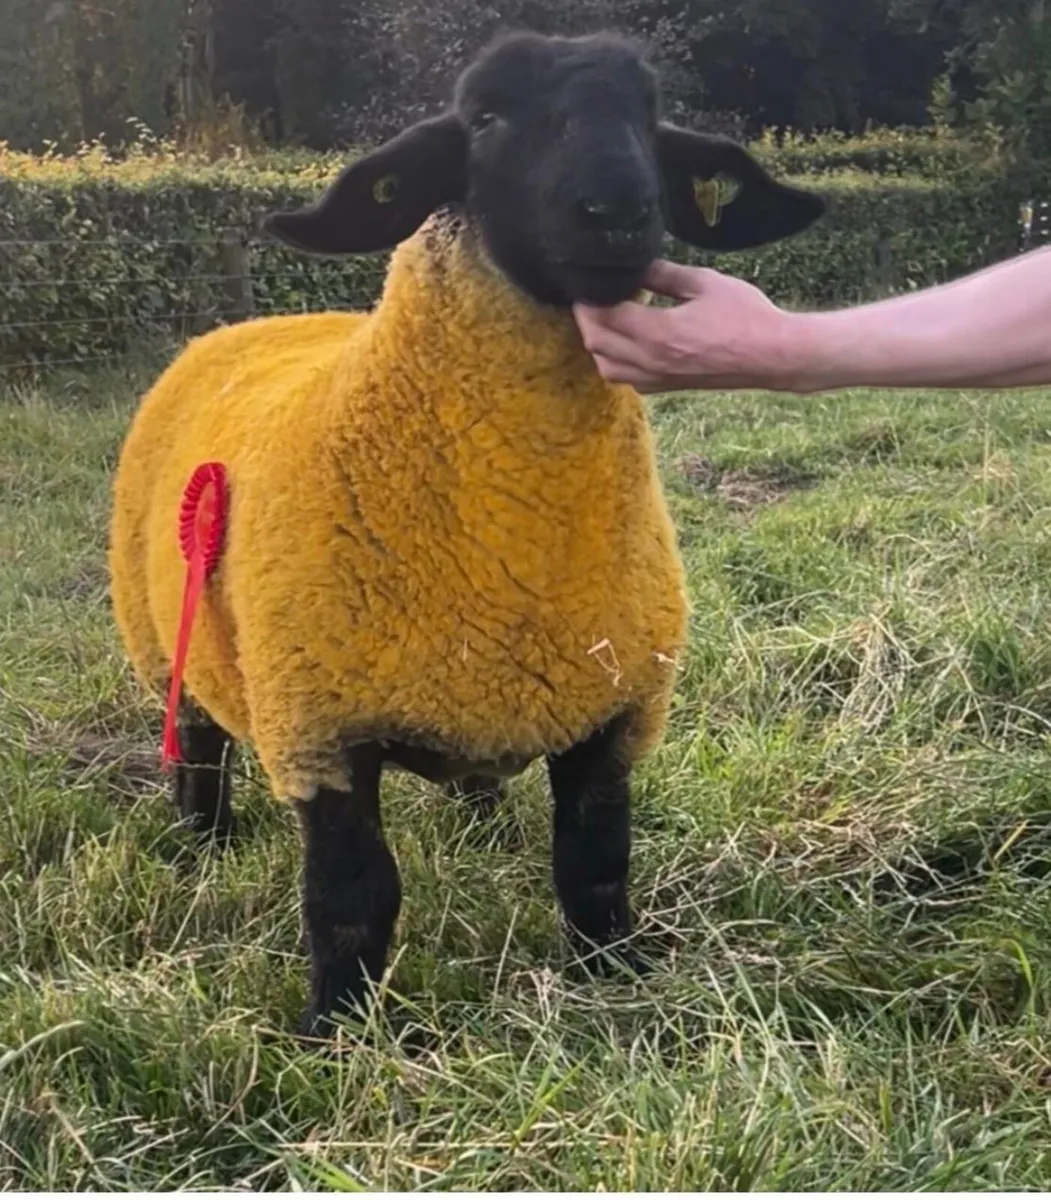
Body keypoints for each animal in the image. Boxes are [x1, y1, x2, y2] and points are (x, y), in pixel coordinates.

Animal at [108, 29, 825, 1038]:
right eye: (483, 118)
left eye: (648, 116)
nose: (616, 214)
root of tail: (254, 321)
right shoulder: (318, 727)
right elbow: (353, 897)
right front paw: (335, 1032)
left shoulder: (613, 708)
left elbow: (595, 864)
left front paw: (615, 974)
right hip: (168, 636)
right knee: (200, 748)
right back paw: (203, 841)